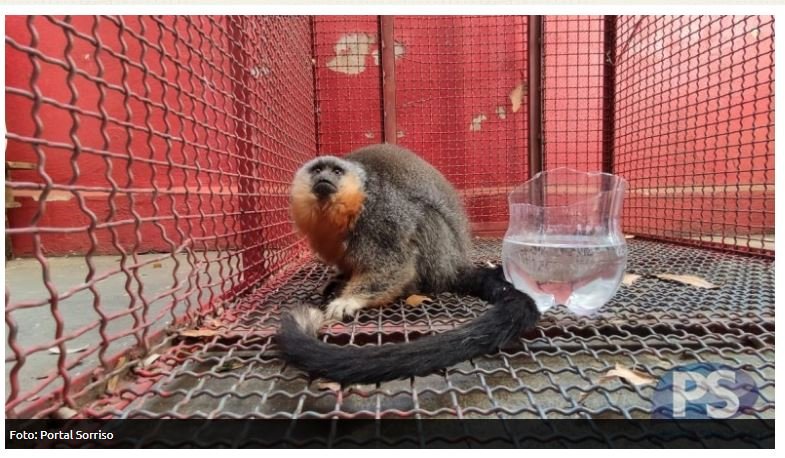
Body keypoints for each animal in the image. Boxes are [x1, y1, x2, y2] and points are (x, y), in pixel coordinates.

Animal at [277, 144, 540, 385]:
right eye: (317, 170)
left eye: (337, 171)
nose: (324, 178)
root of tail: (455, 265)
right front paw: (340, 280)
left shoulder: (379, 212)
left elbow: (397, 261)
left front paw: (349, 299)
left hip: (439, 258)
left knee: (423, 218)